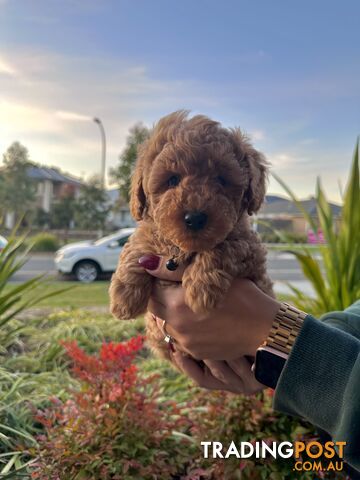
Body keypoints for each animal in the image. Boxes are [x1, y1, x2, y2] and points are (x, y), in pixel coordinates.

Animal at [109, 109, 272, 360]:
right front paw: (123, 297)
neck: (183, 248)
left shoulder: (251, 251)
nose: (194, 218)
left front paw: (201, 289)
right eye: (172, 179)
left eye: (221, 179)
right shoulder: (149, 233)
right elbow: (136, 245)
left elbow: (225, 246)